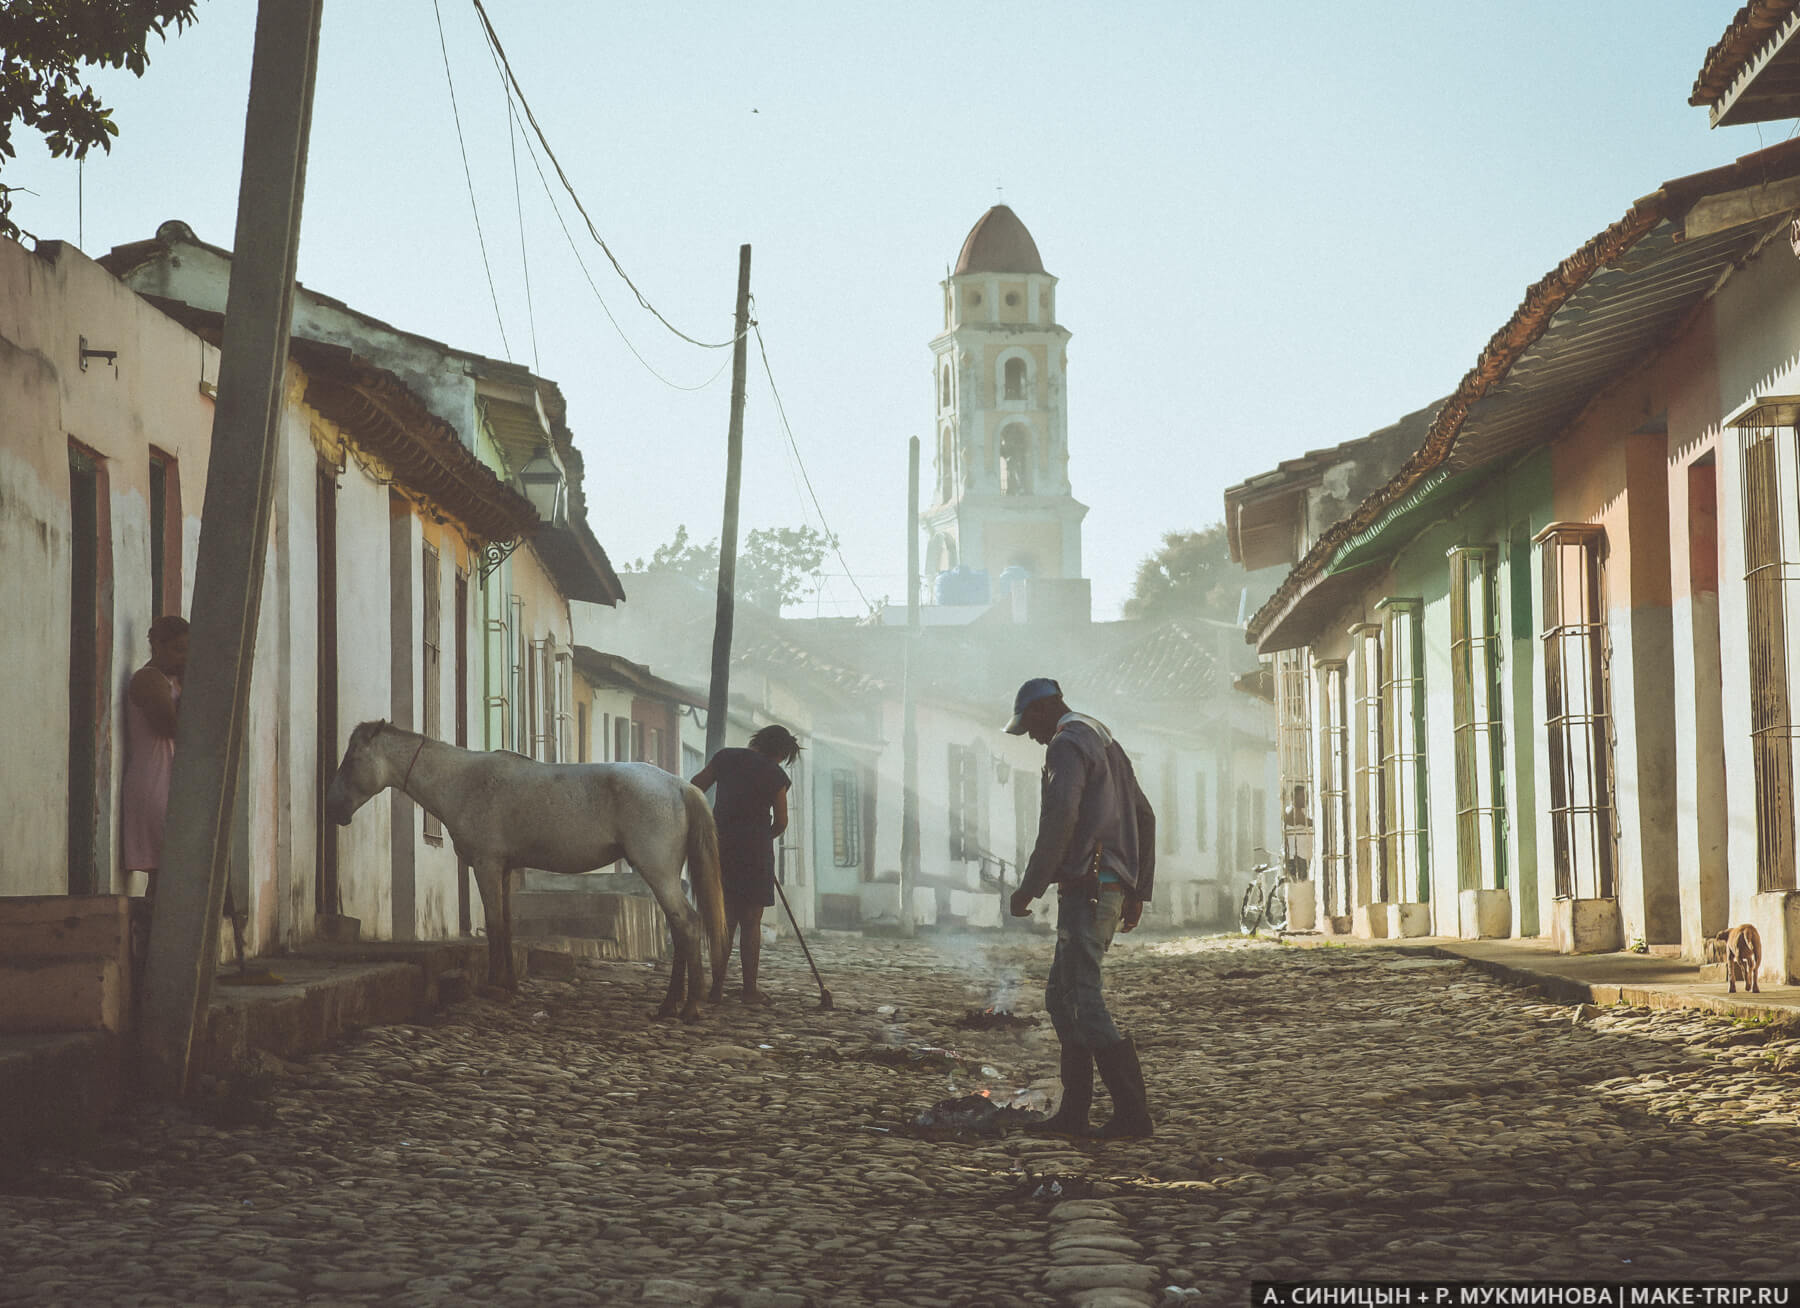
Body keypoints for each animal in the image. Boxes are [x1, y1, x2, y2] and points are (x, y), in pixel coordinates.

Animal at [324, 726, 723, 1021]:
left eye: (353, 758)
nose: (333, 807)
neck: (462, 781)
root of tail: (679, 785)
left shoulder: (486, 864)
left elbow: (495, 924)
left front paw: (494, 986)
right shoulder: (504, 869)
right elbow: (506, 924)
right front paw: (510, 984)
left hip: (658, 871)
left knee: (687, 925)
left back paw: (688, 1007)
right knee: (680, 928)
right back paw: (671, 1004)